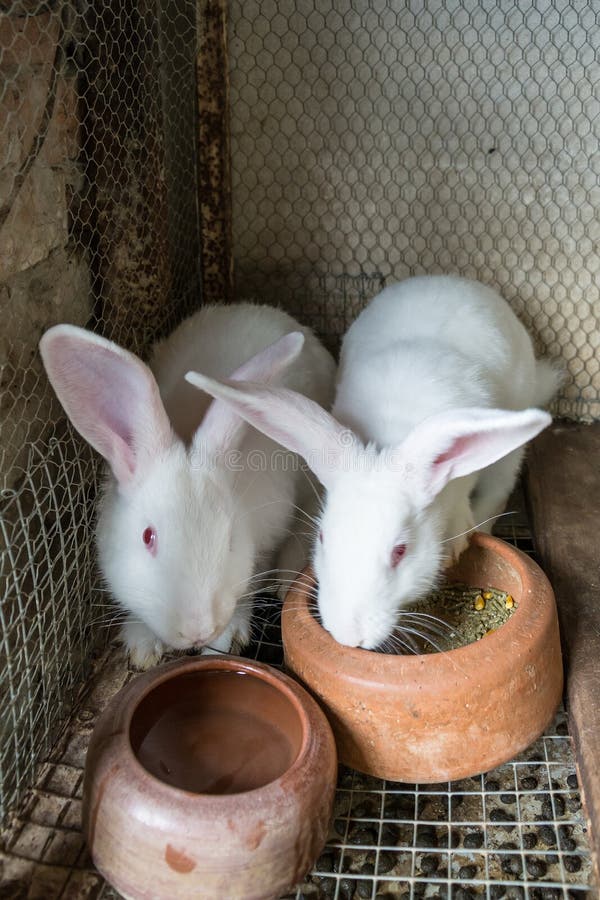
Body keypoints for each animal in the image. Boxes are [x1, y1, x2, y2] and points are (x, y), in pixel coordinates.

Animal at [39, 303, 336, 668]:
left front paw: (225, 640)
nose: (198, 631)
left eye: (231, 541)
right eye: (147, 537)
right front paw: (142, 648)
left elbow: (248, 588)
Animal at [185, 275, 561, 650]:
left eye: (400, 551)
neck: (390, 440)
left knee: (497, 490)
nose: (348, 636)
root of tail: (451, 279)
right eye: (323, 537)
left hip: (508, 448)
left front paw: (454, 544)